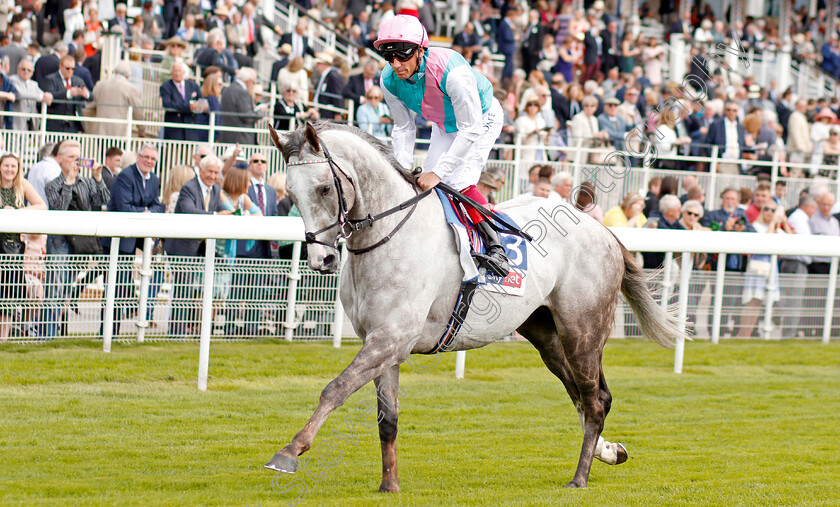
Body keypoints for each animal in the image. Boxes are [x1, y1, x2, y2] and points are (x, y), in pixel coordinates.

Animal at [266, 123, 684, 492]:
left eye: (323, 188)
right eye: (291, 194)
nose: (321, 259)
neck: (388, 237)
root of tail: (603, 230)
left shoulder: (390, 339)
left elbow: (334, 389)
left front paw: (289, 452)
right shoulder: (382, 341)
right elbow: (388, 418)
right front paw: (389, 485)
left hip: (582, 329)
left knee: (594, 400)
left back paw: (580, 477)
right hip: (544, 333)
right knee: (586, 395)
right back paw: (608, 450)